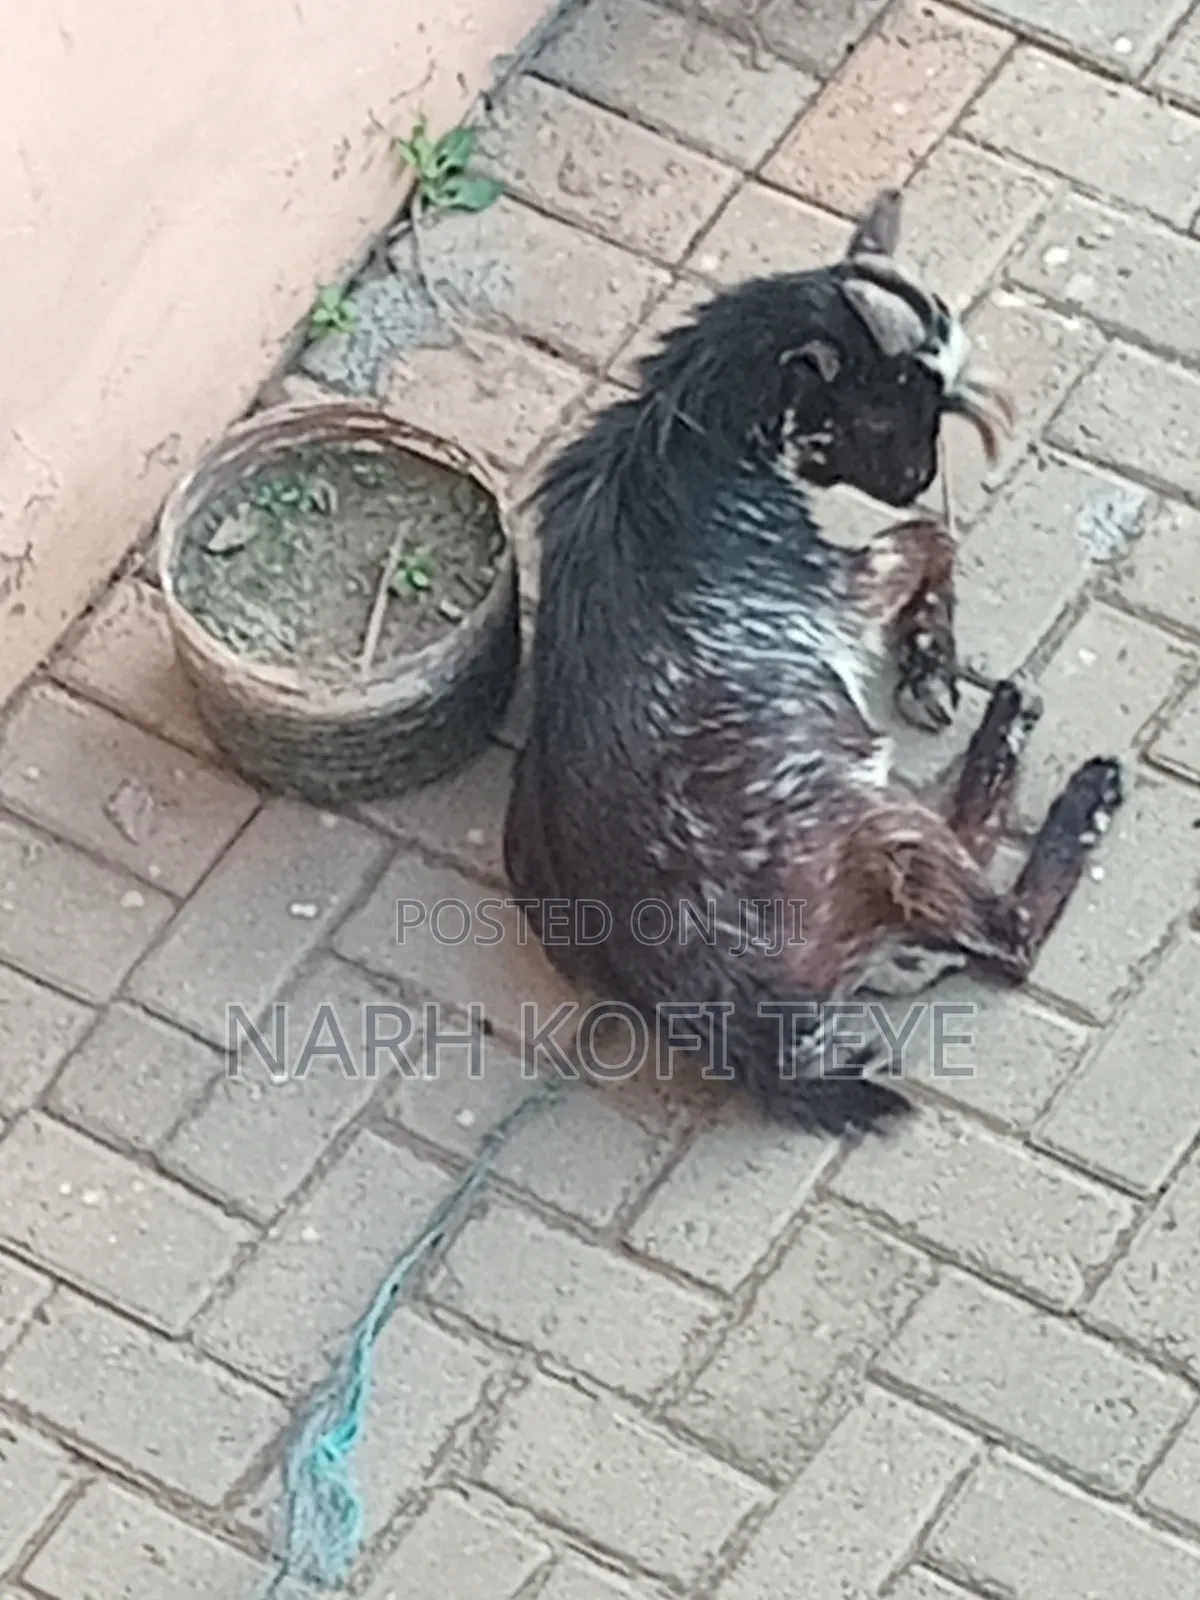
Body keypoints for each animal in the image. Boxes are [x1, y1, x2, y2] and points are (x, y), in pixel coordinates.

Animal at [502, 189, 1123, 1135]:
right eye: (883, 411)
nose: (916, 476)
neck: (679, 432)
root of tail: (758, 1035)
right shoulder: (840, 586)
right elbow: (931, 540)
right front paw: (930, 661)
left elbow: (929, 538)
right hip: (885, 831)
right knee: (1008, 934)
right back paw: (1061, 771)